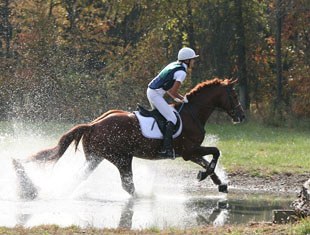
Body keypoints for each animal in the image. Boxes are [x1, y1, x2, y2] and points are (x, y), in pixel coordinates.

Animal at [22, 78, 245, 196]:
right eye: (234, 96)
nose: (242, 116)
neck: (193, 113)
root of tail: (93, 125)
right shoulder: (189, 150)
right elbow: (215, 153)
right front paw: (205, 176)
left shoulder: (189, 153)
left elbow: (207, 161)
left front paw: (217, 182)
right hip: (121, 158)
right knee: (127, 185)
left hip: (96, 157)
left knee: (81, 176)